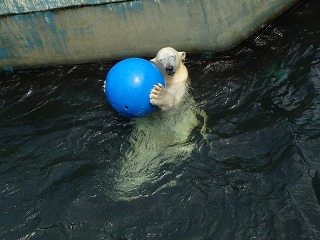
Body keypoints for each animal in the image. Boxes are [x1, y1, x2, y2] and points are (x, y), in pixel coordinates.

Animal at [112, 47, 208, 200]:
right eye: (160, 60)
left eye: (172, 56)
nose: (169, 68)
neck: (170, 82)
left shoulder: (181, 91)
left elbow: (173, 104)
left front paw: (159, 95)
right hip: (142, 144)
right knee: (136, 160)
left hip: (180, 139)